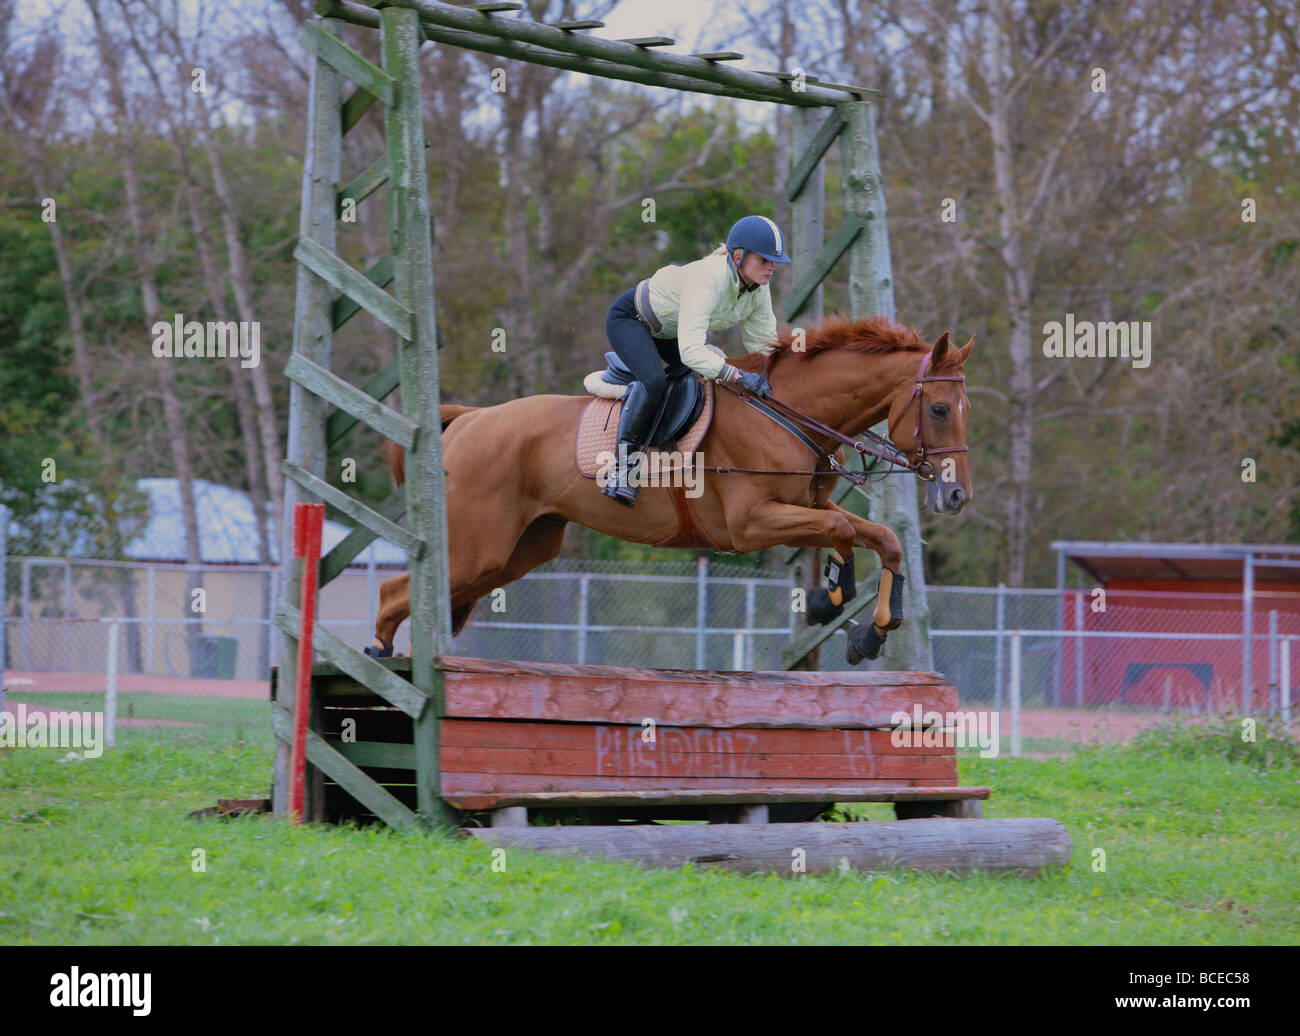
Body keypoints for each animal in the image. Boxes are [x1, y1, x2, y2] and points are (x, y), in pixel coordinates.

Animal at [368, 314, 974, 664]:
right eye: (940, 409)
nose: (956, 497)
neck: (788, 413)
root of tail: (469, 419)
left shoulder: (804, 507)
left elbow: (878, 538)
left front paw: (869, 630)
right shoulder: (752, 525)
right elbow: (844, 528)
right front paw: (832, 599)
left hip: (518, 552)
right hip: (479, 549)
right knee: (395, 591)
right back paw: (378, 655)